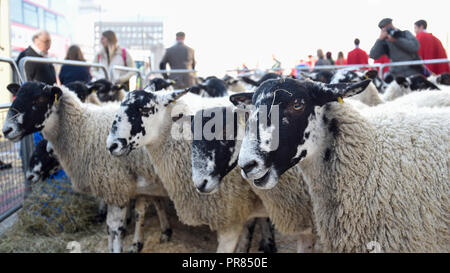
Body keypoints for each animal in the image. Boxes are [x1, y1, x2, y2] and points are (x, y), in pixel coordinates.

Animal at [2, 82, 172, 252]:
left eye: (39, 99)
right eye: (17, 95)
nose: (6, 130)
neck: (85, 129)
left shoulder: (118, 186)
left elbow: (118, 228)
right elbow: (110, 227)